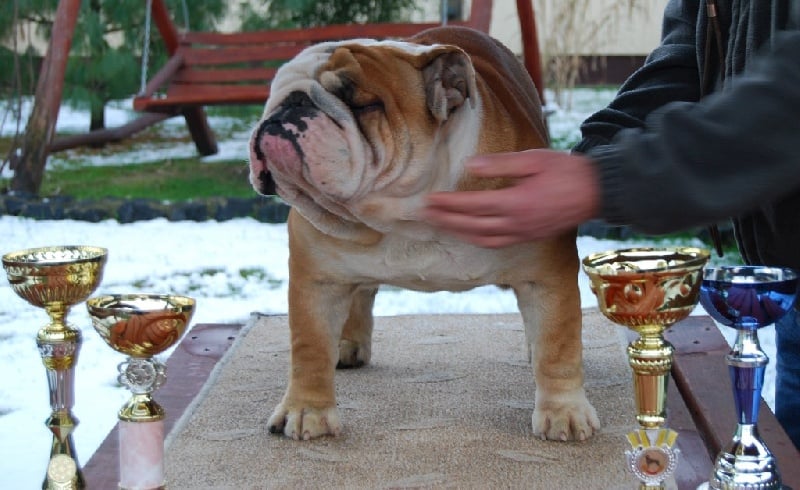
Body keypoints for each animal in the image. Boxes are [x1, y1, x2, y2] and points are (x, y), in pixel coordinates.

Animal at [248, 26, 600, 442]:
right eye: (275, 94)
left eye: (362, 104)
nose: (290, 105)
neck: (407, 214)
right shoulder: (317, 282)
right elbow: (310, 348)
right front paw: (306, 411)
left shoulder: (546, 275)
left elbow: (559, 347)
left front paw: (564, 412)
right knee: (360, 293)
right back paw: (347, 343)